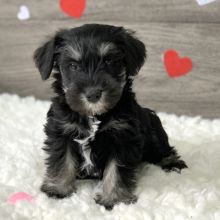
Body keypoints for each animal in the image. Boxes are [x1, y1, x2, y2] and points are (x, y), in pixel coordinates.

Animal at [33, 23, 186, 210]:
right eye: (73, 66)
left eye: (109, 61)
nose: (93, 94)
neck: (93, 115)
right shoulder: (61, 132)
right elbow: (62, 161)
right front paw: (58, 189)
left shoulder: (122, 138)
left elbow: (116, 171)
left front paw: (114, 199)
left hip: (154, 130)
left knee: (164, 150)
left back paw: (172, 163)